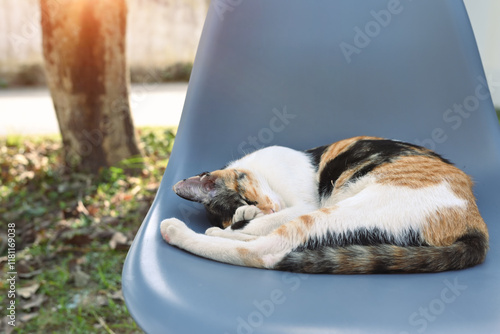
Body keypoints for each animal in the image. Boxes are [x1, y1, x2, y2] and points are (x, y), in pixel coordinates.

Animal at [160, 136, 488, 274]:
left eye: (247, 197)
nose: (263, 207)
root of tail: (476, 224)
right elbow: (253, 225)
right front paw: (239, 221)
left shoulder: (302, 206)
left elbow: (263, 224)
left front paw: (242, 220)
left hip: (342, 211)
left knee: (264, 250)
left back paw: (178, 230)